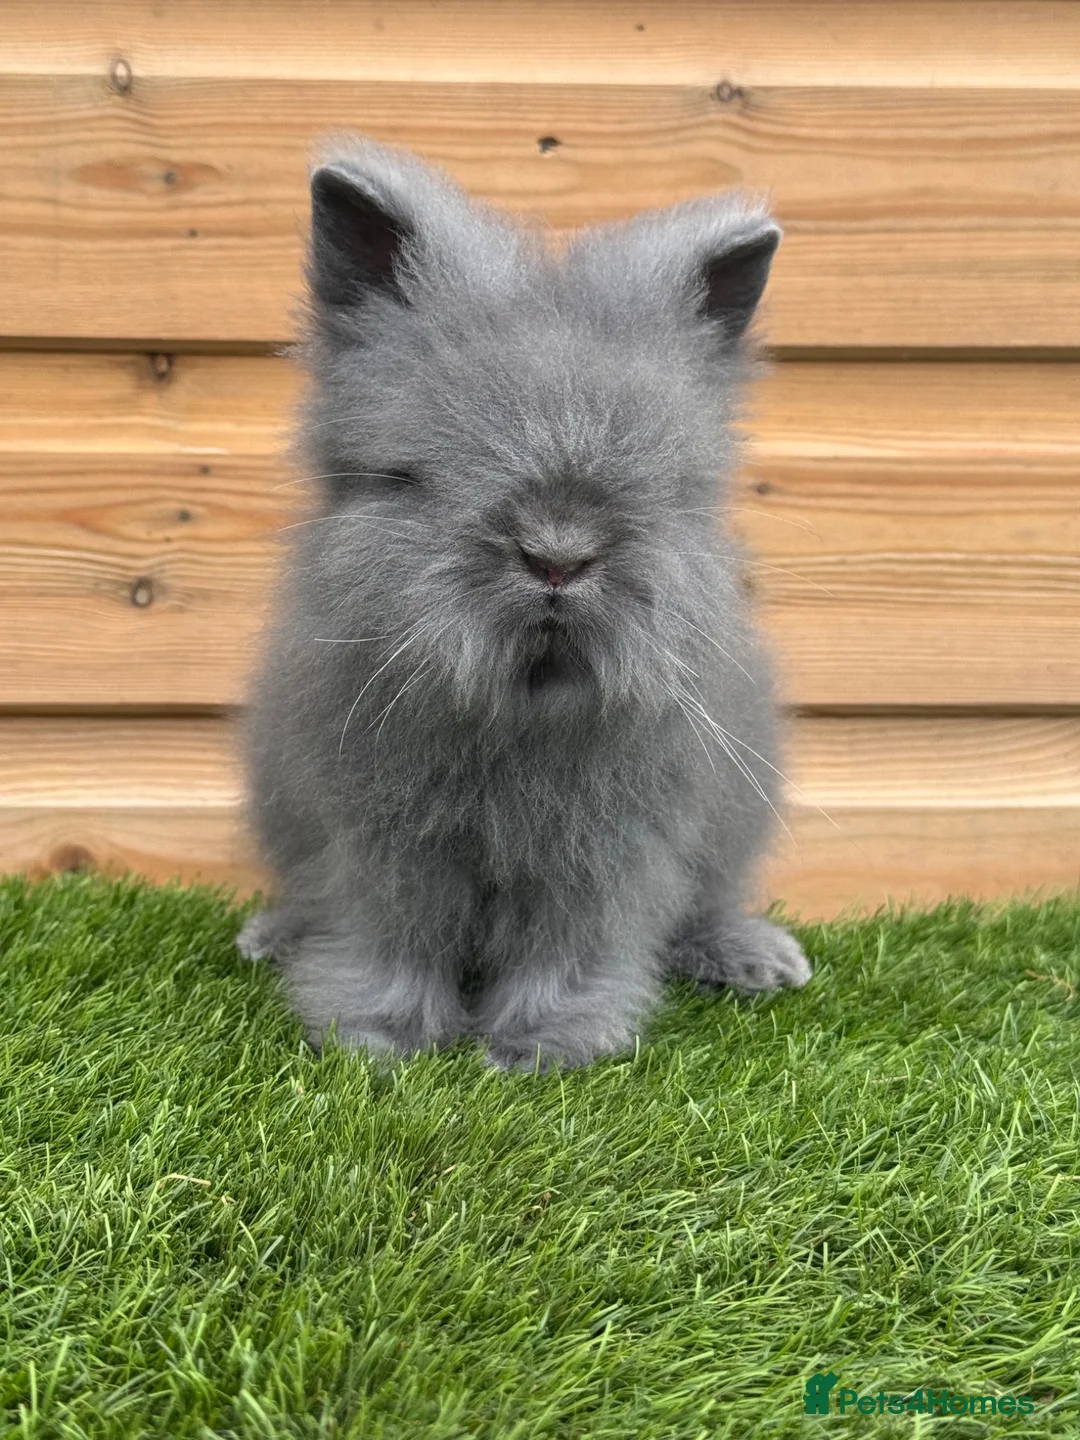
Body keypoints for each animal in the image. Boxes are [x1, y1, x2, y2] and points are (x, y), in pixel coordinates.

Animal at [237, 138, 811, 1070]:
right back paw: (270, 937)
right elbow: (393, 938)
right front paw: (379, 1042)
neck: (520, 711)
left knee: (707, 904)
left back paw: (758, 960)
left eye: (670, 488)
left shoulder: (604, 857)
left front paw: (541, 1049)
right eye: (411, 477)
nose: (557, 555)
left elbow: (567, 947)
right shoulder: (380, 848)